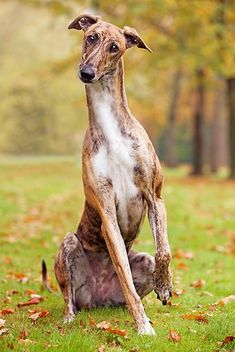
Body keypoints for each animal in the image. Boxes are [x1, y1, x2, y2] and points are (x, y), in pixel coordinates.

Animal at [54, 14, 173, 336]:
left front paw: (165, 286)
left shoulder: (154, 197)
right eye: (91, 38)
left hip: (142, 261)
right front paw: (143, 327)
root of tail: (98, 300)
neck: (111, 130)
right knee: (70, 296)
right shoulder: (106, 211)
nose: (86, 72)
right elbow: (123, 270)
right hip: (68, 246)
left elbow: (164, 251)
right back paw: (70, 317)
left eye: (115, 47)